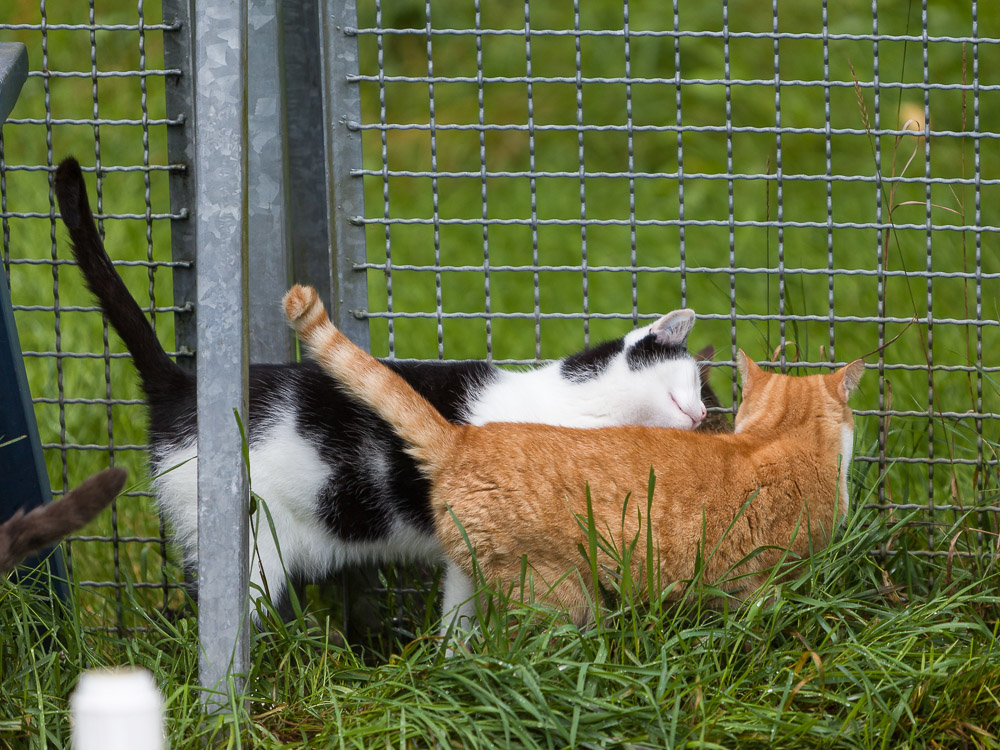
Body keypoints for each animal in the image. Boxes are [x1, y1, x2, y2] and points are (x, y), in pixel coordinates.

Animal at [54, 157, 708, 616]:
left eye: (707, 397)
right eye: (688, 390)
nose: (703, 416)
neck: (576, 406)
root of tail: (182, 388)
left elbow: (461, 610)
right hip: (252, 547)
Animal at [284, 284, 868, 624]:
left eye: (713, 406)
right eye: (695, 392)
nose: (703, 416)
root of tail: (461, 441)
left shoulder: (461, 570)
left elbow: (457, 624)